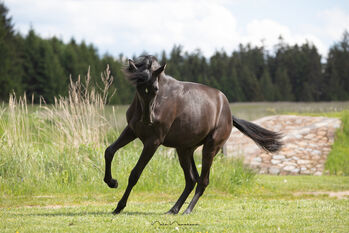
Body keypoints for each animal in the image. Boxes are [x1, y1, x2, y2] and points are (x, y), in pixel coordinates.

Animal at [102, 55, 280, 215]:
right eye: (139, 87)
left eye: (155, 89)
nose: (148, 120)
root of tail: (229, 113)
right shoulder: (131, 131)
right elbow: (109, 151)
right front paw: (111, 182)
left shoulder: (153, 141)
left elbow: (135, 174)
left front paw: (119, 206)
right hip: (184, 150)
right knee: (191, 179)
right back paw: (173, 210)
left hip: (210, 148)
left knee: (203, 181)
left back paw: (187, 210)